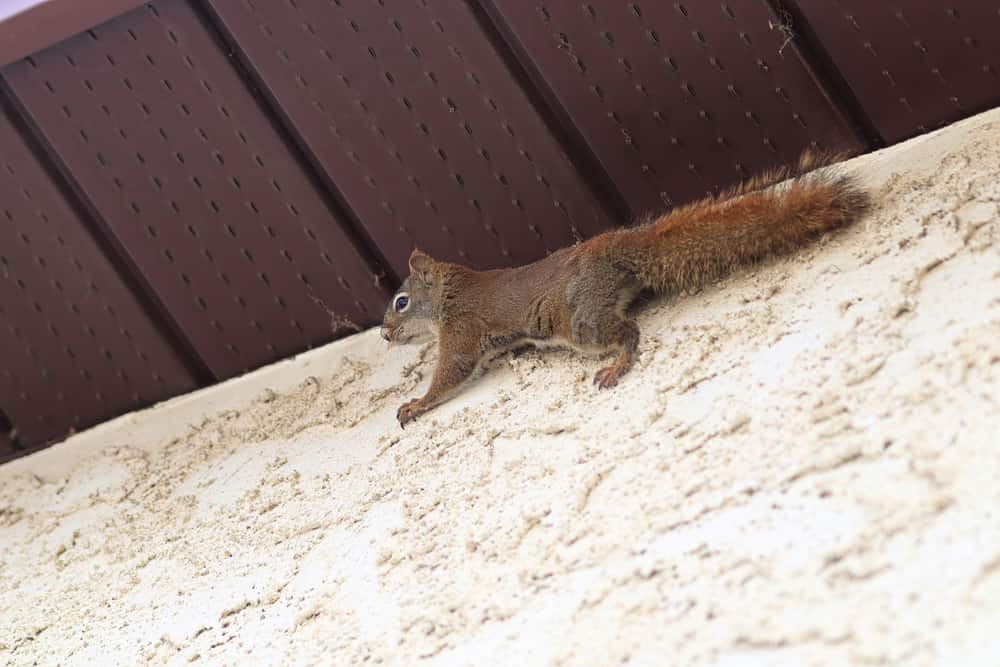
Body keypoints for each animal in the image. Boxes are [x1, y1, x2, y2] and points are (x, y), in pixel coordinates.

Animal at [380, 150, 868, 428]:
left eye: (401, 302)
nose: (384, 334)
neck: (448, 293)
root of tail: (617, 248)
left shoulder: (462, 327)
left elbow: (453, 371)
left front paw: (416, 404)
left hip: (579, 321)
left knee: (627, 332)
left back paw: (617, 365)